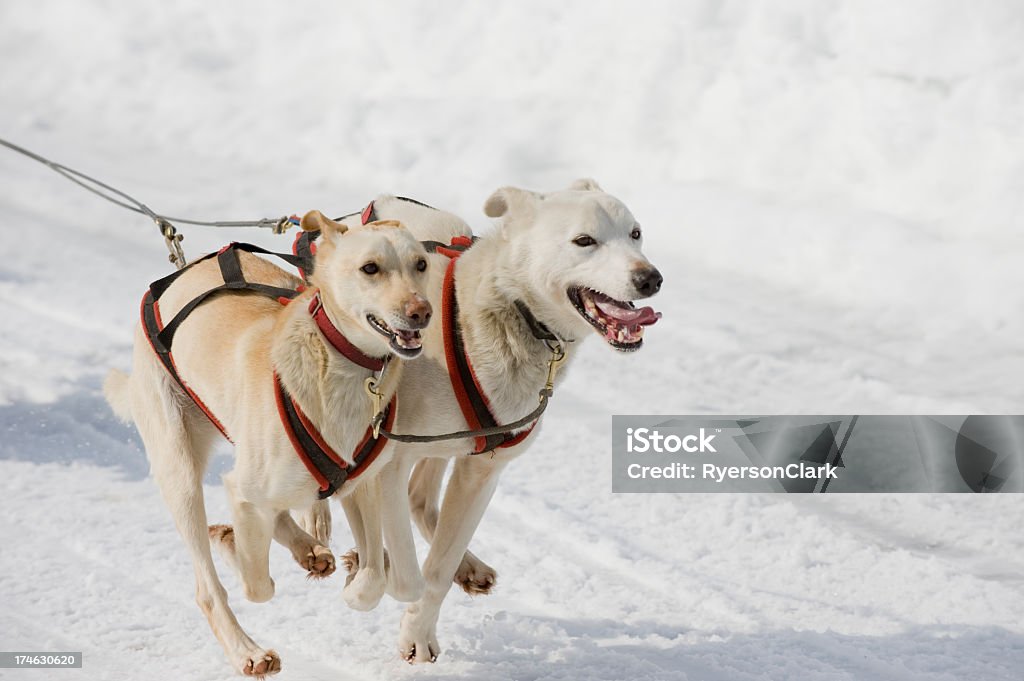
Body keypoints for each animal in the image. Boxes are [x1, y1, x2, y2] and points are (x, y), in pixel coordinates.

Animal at [105, 213, 434, 675]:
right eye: (370, 268)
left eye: (420, 264)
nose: (421, 311)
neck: (341, 369)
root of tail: (180, 272)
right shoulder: (244, 492)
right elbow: (255, 585)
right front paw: (232, 544)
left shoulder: (362, 485)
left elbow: (376, 577)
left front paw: (355, 582)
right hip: (180, 470)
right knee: (210, 587)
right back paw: (248, 649)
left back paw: (307, 546)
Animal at [301, 179, 663, 659]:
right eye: (585, 240)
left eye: (635, 234)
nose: (650, 278)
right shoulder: (388, 460)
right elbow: (404, 573)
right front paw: (365, 579)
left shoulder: (482, 469)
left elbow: (435, 571)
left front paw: (418, 632)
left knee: (421, 500)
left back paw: (465, 565)